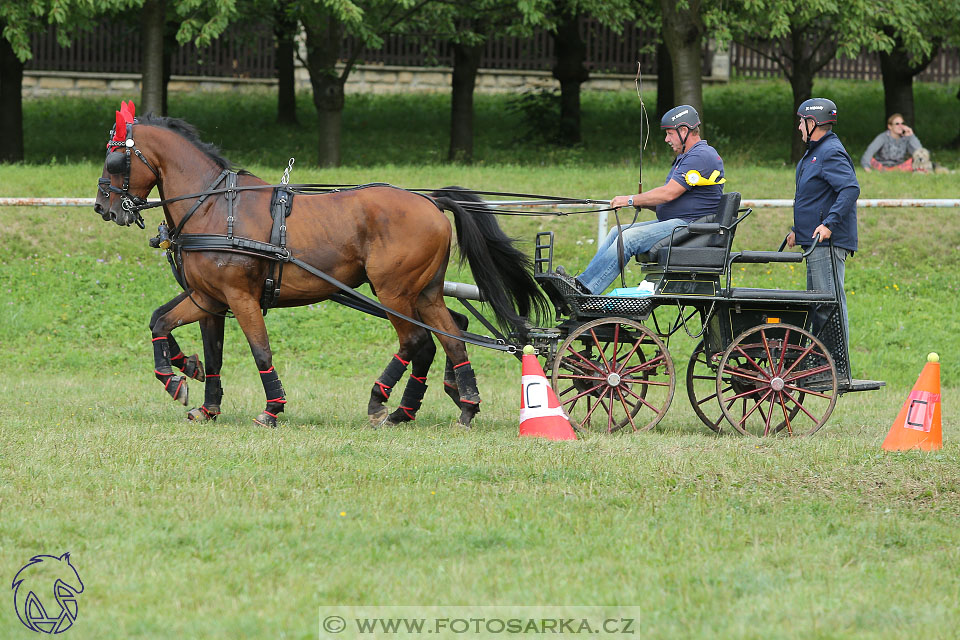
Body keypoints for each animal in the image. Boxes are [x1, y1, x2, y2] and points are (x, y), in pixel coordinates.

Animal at [96, 107, 548, 428]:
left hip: (392, 292)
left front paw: (272, 409)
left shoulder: (241, 298)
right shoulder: (209, 299)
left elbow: (260, 350)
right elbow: (175, 331)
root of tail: (430, 201)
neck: (214, 207)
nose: (103, 207)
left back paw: (381, 402)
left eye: (115, 159)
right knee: (451, 338)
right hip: (424, 293)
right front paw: (190, 385)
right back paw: (455, 406)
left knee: (417, 341)